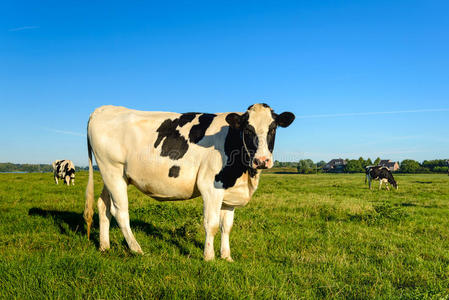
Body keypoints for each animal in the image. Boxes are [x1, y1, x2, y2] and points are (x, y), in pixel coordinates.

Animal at [83, 103, 294, 260]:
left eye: (273, 129)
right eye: (248, 129)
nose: (262, 160)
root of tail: (103, 109)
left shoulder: (229, 192)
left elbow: (227, 227)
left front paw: (226, 257)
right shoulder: (210, 186)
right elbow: (212, 224)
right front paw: (209, 257)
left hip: (114, 175)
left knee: (103, 206)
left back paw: (104, 246)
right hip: (112, 170)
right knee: (120, 212)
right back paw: (136, 249)